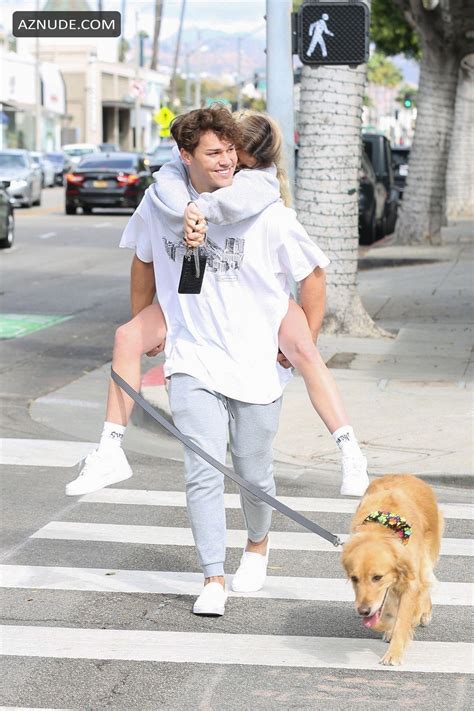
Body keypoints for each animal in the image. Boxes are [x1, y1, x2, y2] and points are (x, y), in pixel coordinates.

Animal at [342, 476, 442, 664]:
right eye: (354, 579)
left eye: (377, 577)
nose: (363, 611)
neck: (382, 529)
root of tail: (409, 475)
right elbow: (383, 618)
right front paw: (389, 628)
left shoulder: (410, 580)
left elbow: (402, 619)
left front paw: (394, 653)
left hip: (427, 554)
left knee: (425, 582)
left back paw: (423, 613)